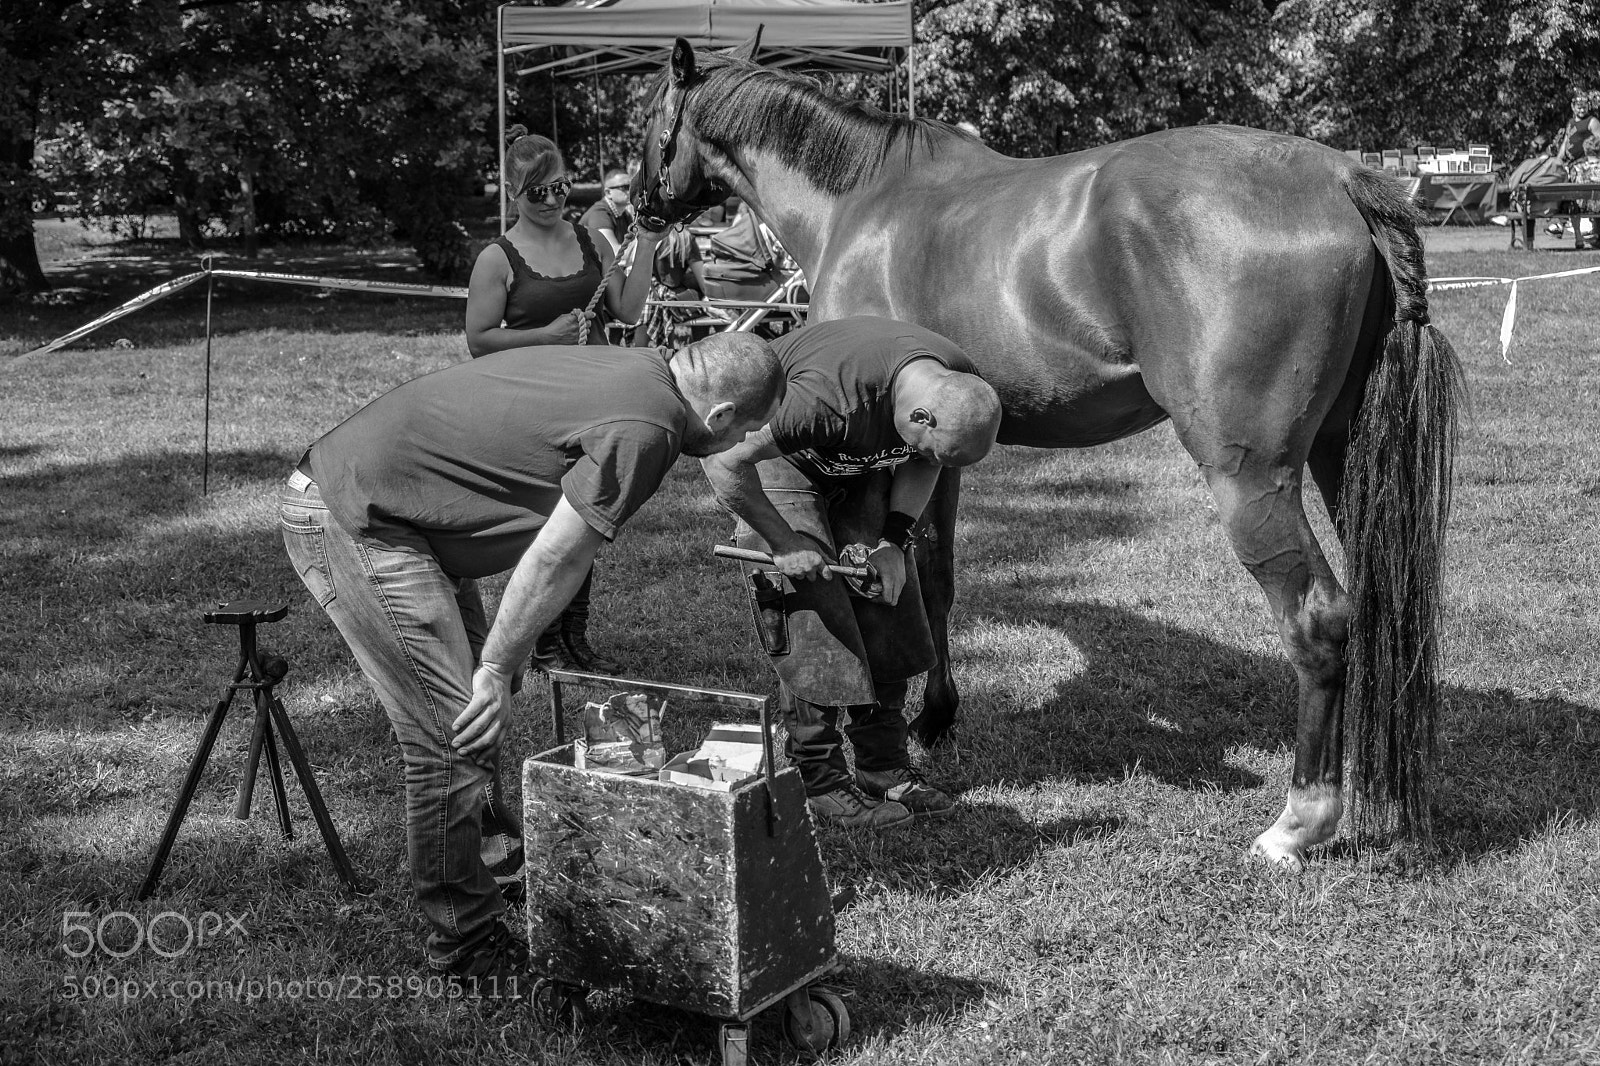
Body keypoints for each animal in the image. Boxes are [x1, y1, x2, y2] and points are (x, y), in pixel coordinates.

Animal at [634, 37, 1462, 869]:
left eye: (650, 119)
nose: (641, 205)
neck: (862, 199)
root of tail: (1340, 179)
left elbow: (901, 578)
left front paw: (915, 722)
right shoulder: (935, 444)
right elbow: (934, 577)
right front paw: (935, 718)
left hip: (1252, 477)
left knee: (1318, 620)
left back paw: (1299, 820)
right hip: (1341, 458)